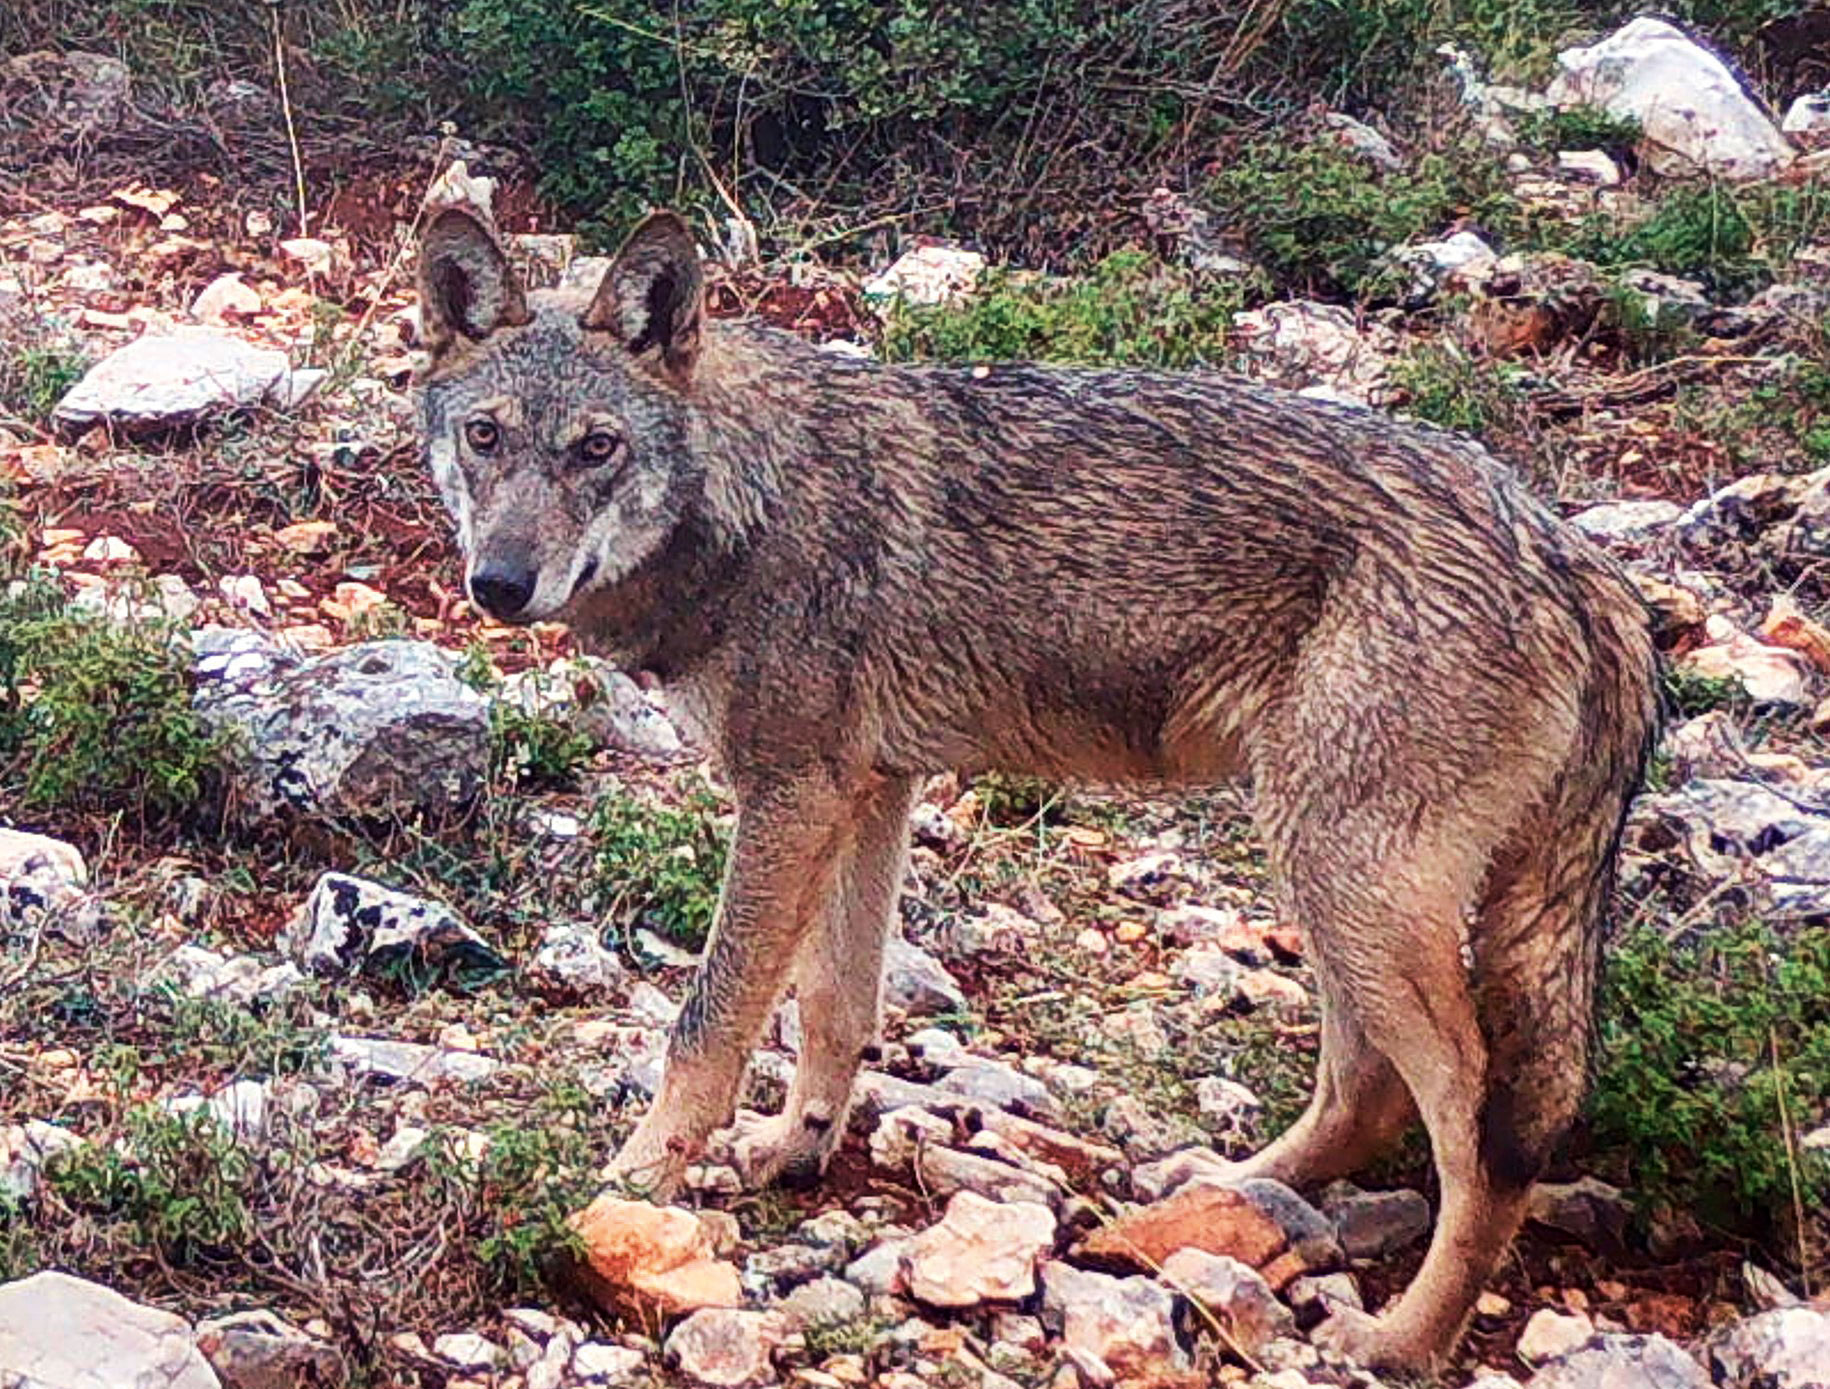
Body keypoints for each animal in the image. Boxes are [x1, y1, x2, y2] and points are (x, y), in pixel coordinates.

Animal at [411, 204, 1661, 1368]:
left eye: (596, 450)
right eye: (485, 437)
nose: (500, 584)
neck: (743, 498)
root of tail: (1581, 563)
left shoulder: (791, 796)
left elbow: (708, 1027)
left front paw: (628, 1187)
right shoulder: (868, 792)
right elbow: (836, 1009)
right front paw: (793, 1152)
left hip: (1349, 881)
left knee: (1477, 1126)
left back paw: (1400, 1337)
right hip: (1329, 880)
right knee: (1367, 1091)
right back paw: (1218, 1193)